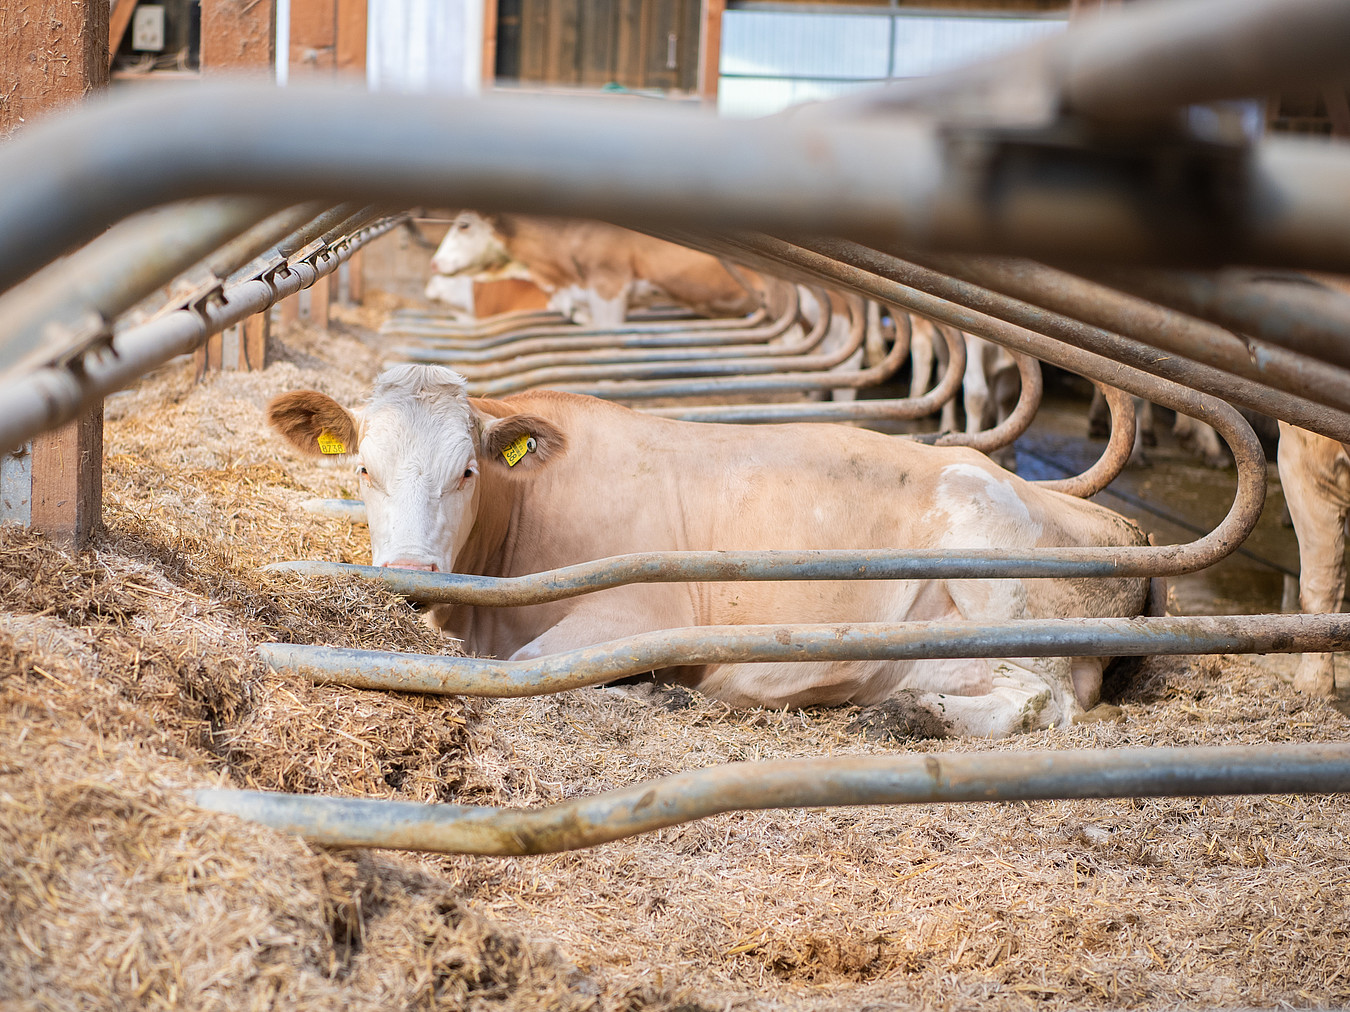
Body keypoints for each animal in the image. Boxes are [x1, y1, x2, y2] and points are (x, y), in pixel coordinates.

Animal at [268, 361, 1155, 739]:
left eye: (466, 470)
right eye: (363, 468)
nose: (407, 575)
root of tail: (1126, 531)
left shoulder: (635, 608)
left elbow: (525, 670)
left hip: (1001, 579)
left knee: (1044, 700)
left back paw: (911, 718)